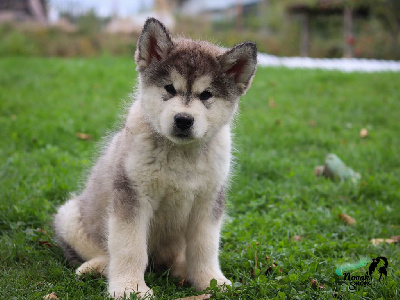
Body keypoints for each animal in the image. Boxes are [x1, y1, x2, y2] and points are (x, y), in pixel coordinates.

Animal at [53, 18, 258, 298]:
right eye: (169, 88)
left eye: (206, 95)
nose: (183, 120)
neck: (181, 156)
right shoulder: (132, 196)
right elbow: (129, 247)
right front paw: (129, 288)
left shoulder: (209, 201)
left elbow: (205, 247)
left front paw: (210, 281)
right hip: (70, 215)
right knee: (105, 252)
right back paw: (97, 267)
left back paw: (182, 270)